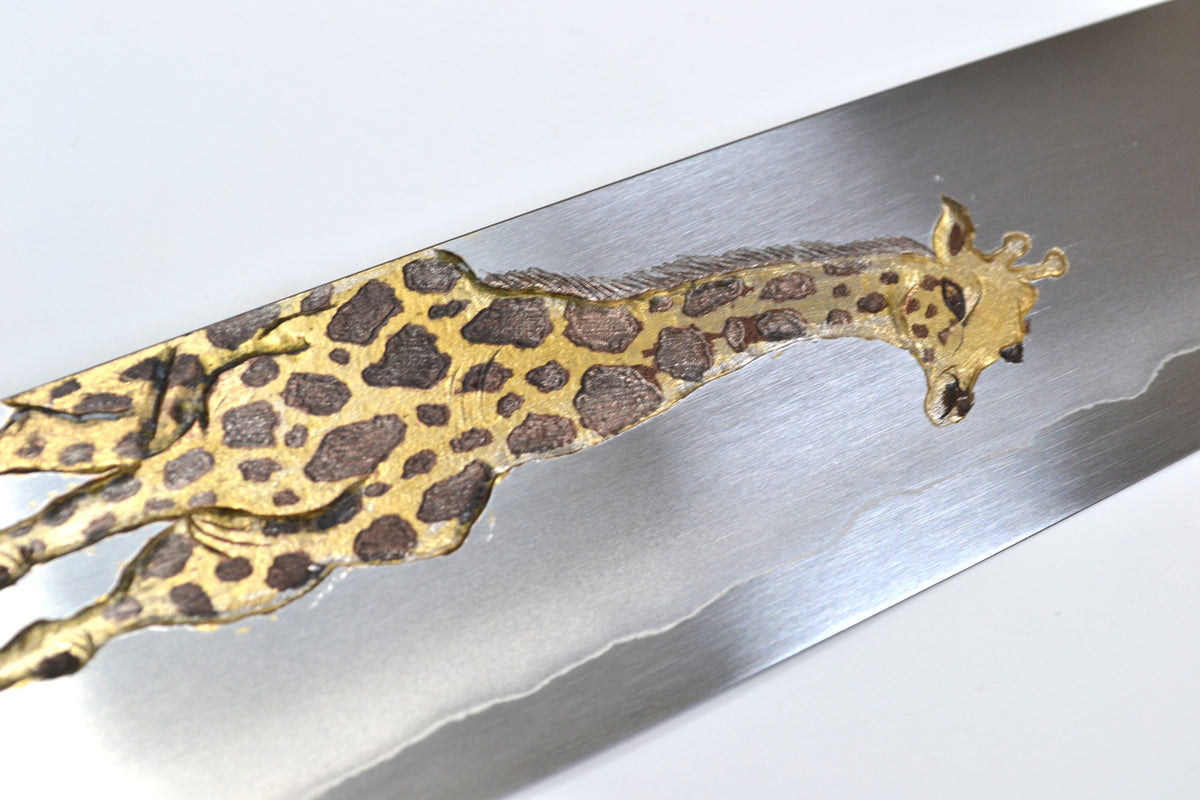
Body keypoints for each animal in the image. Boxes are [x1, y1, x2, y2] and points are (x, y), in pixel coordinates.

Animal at [0, 197, 1066, 690]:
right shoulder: (216, 455)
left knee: (57, 553)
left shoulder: (242, 555)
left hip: (197, 498)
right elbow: (33, 544)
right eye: (957, 299)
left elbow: (55, 620)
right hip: (165, 412)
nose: (953, 407)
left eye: (1017, 345)